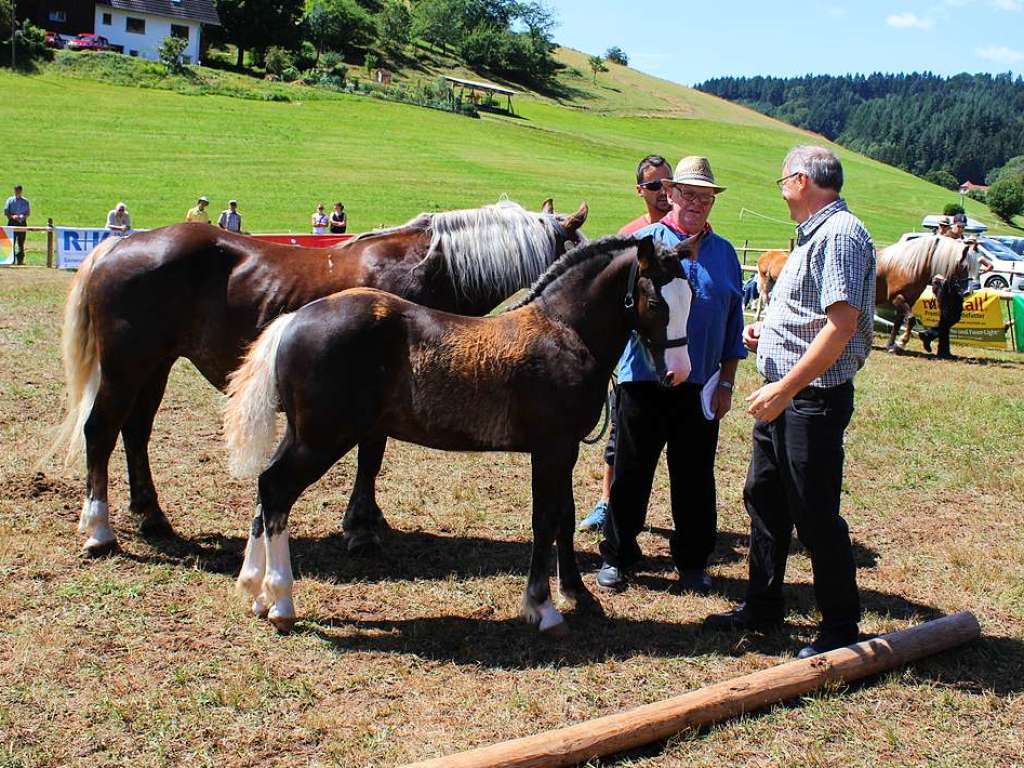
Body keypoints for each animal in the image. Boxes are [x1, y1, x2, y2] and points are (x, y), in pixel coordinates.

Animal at [51, 201, 589, 557]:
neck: (423, 270)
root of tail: (119, 245)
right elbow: (371, 459)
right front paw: (361, 525)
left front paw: (368, 520)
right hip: (126, 366)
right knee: (100, 431)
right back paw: (99, 529)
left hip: (155, 366)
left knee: (135, 433)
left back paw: (151, 515)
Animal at [222, 233, 704, 638]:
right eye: (656, 303)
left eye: (692, 299)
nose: (679, 374)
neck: (565, 332)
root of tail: (293, 319)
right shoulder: (550, 449)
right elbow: (544, 520)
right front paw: (542, 607)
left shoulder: (563, 451)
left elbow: (564, 518)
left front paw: (578, 594)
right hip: (323, 439)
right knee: (277, 490)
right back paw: (281, 601)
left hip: (302, 434)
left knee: (266, 488)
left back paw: (256, 592)